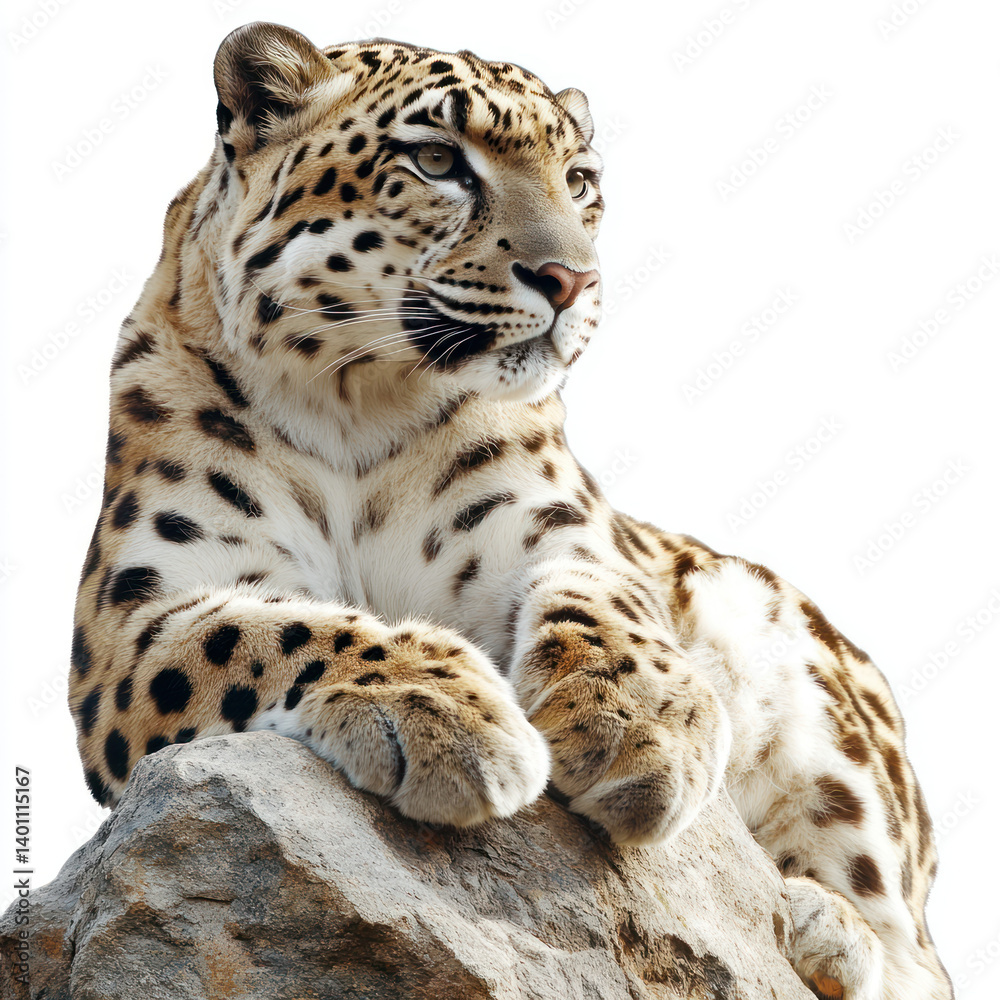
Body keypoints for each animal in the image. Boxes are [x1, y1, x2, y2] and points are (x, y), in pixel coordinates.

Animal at [68, 21, 952, 1000]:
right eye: (436, 160)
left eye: (581, 181)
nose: (571, 279)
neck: (354, 406)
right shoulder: (136, 620)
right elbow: (277, 629)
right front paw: (446, 716)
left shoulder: (557, 530)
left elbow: (612, 600)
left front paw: (636, 728)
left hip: (823, 711)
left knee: (914, 948)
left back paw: (817, 923)